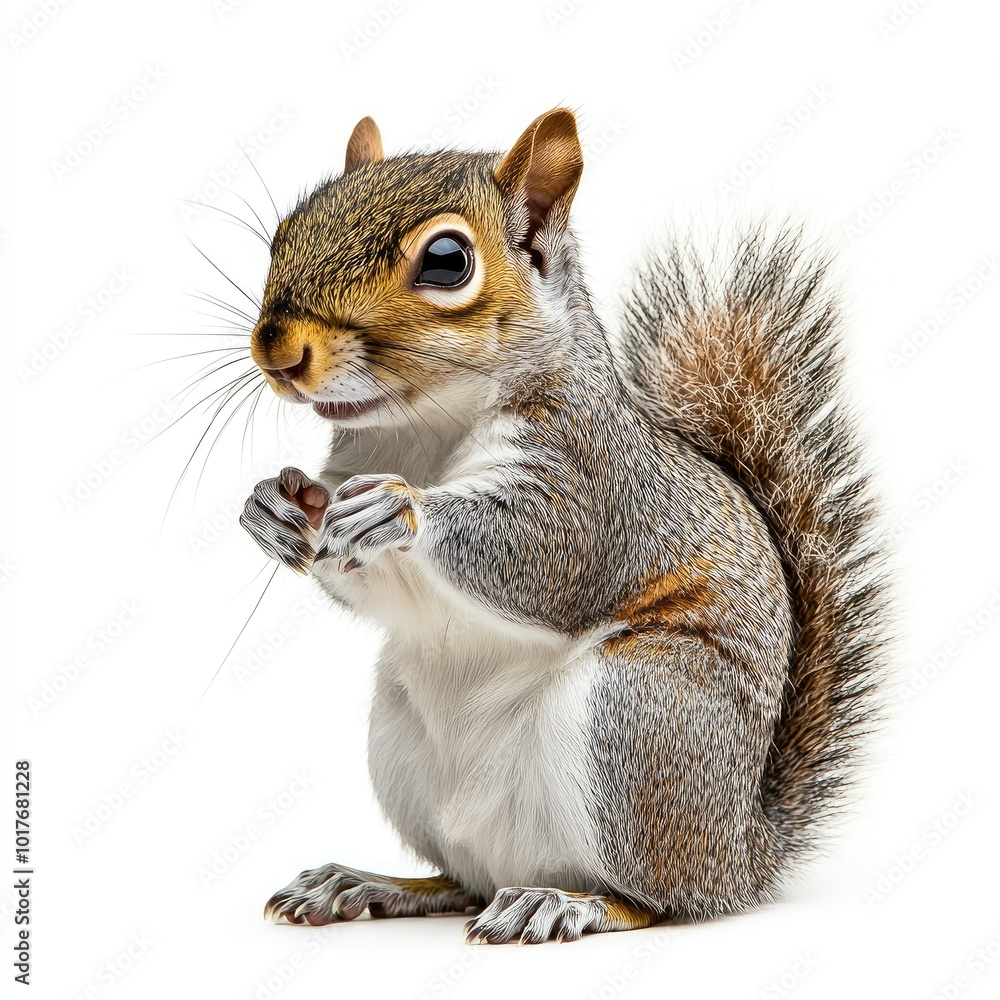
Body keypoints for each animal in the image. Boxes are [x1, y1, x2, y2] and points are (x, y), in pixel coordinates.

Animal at [239, 109, 885, 945]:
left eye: (446, 262)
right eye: (285, 231)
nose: (278, 350)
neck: (420, 430)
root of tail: (741, 853)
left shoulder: (592, 481)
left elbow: (543, 556)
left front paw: (401, 508)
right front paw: (272, 507)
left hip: (640, 719)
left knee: (656, 899)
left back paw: (567, 902)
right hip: (407, 747)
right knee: (462, 882)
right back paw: (370, 883)